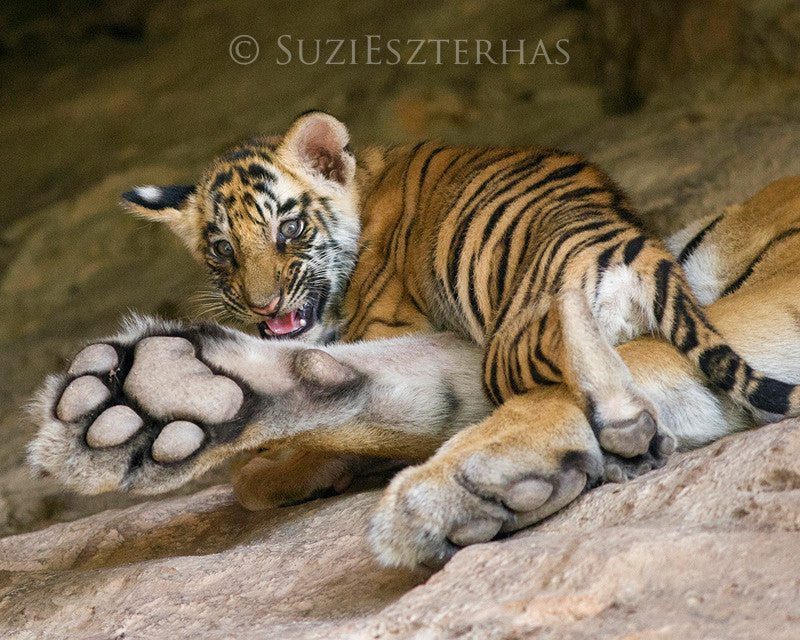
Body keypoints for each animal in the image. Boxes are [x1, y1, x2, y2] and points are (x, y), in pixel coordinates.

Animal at [28, 111, 800, 568]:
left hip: (516, 344)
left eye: (289, 229)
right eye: (221, 250)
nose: (264, 304)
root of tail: (630, 247)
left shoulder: (398, 325)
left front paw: (274, 470)